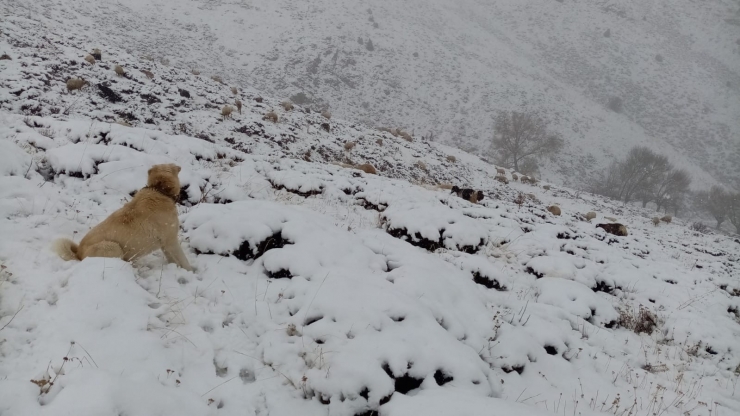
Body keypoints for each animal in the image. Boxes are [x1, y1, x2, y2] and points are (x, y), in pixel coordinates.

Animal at [52, 162, 194, 270]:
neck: (159, 190)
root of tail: (78, 253)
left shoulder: (165, 245)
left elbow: (173, 260)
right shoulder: (171, 241)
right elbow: (184, 261)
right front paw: (191, 271)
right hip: (114, 247)